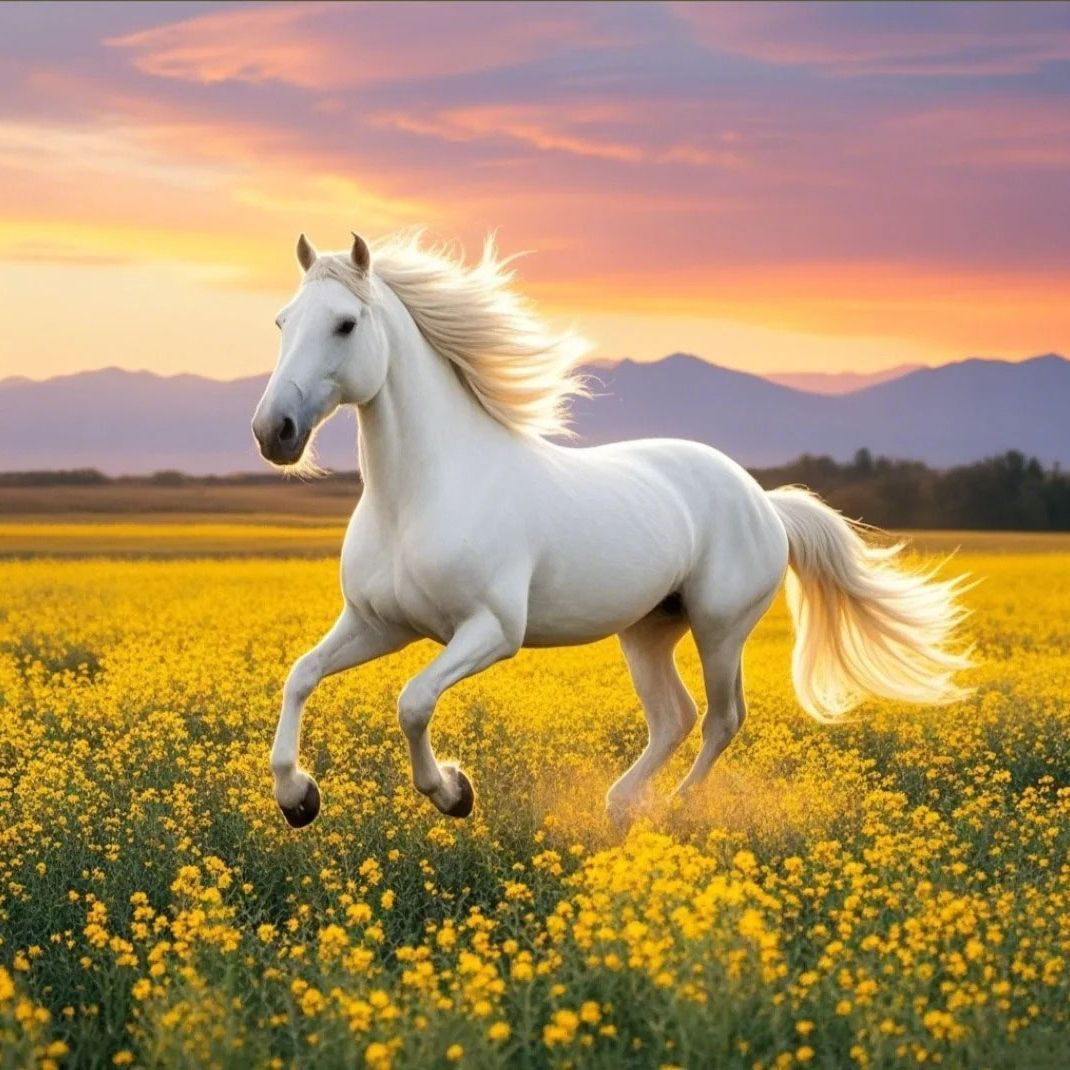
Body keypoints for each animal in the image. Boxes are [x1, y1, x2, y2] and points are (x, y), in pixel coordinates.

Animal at [252, 230, 971, 830]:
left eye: (345, 324)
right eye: (282, 321)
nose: (273, 431)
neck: (418, 495)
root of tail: (763, 501)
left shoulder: (490, 631)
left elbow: (413, 701)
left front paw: (454, 793)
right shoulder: (380, 624)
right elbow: (301, 675)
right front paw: (297, 798)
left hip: (719, 628)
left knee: (721, 718)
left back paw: (674, 806)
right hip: (648, 631)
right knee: (675, 718)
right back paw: (622, 804)